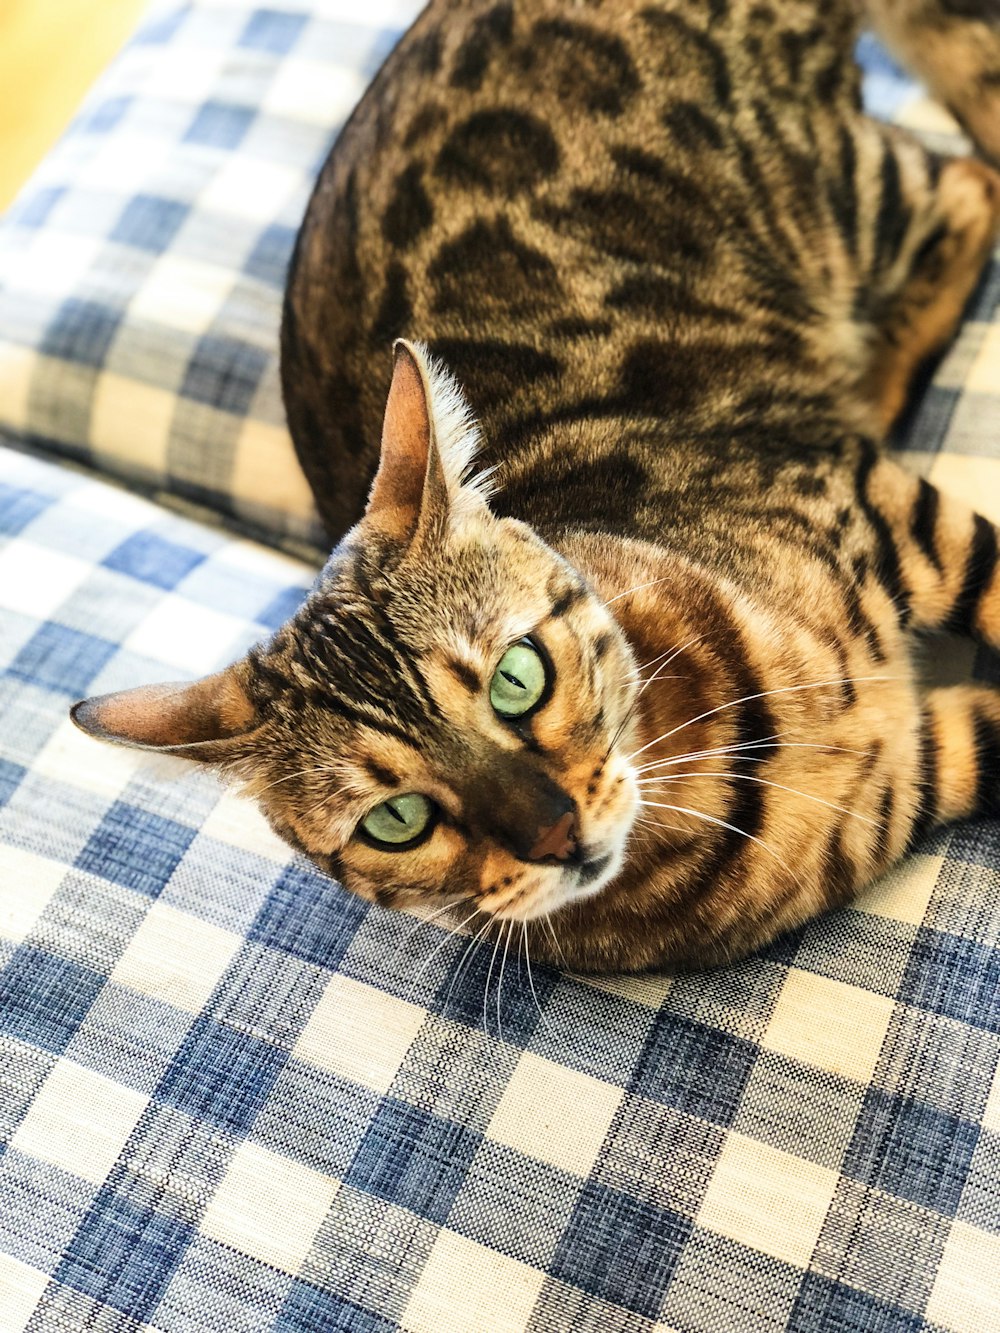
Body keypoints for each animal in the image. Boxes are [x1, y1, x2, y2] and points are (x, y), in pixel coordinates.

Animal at [74, 5, 1000, 975]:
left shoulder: (891, 509)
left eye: (518, 678)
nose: (554, 832)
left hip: (841, 190)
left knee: (970, 178)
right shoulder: (923, 767)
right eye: (396, 820)